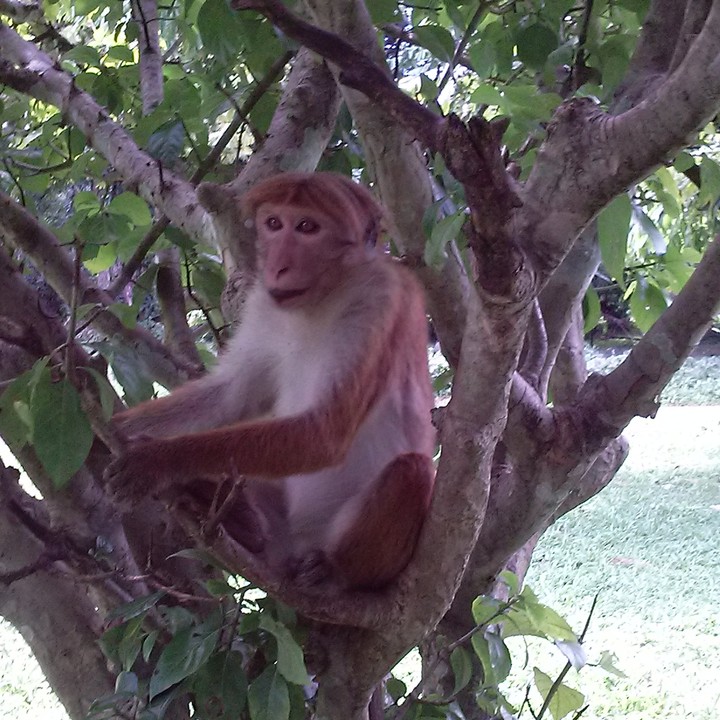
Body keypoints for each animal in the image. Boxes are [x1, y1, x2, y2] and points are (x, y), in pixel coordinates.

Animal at [107, 172, 435, 590]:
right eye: (275, 224)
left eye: (308, 227)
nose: (278, 265)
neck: (320, 297)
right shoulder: (263, 304)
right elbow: (230, 396)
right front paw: (116, 426)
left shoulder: (379, 298)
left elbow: (324, 433)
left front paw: (157, 460)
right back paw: (239, 516)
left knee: (412, 471)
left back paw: (334, 569)